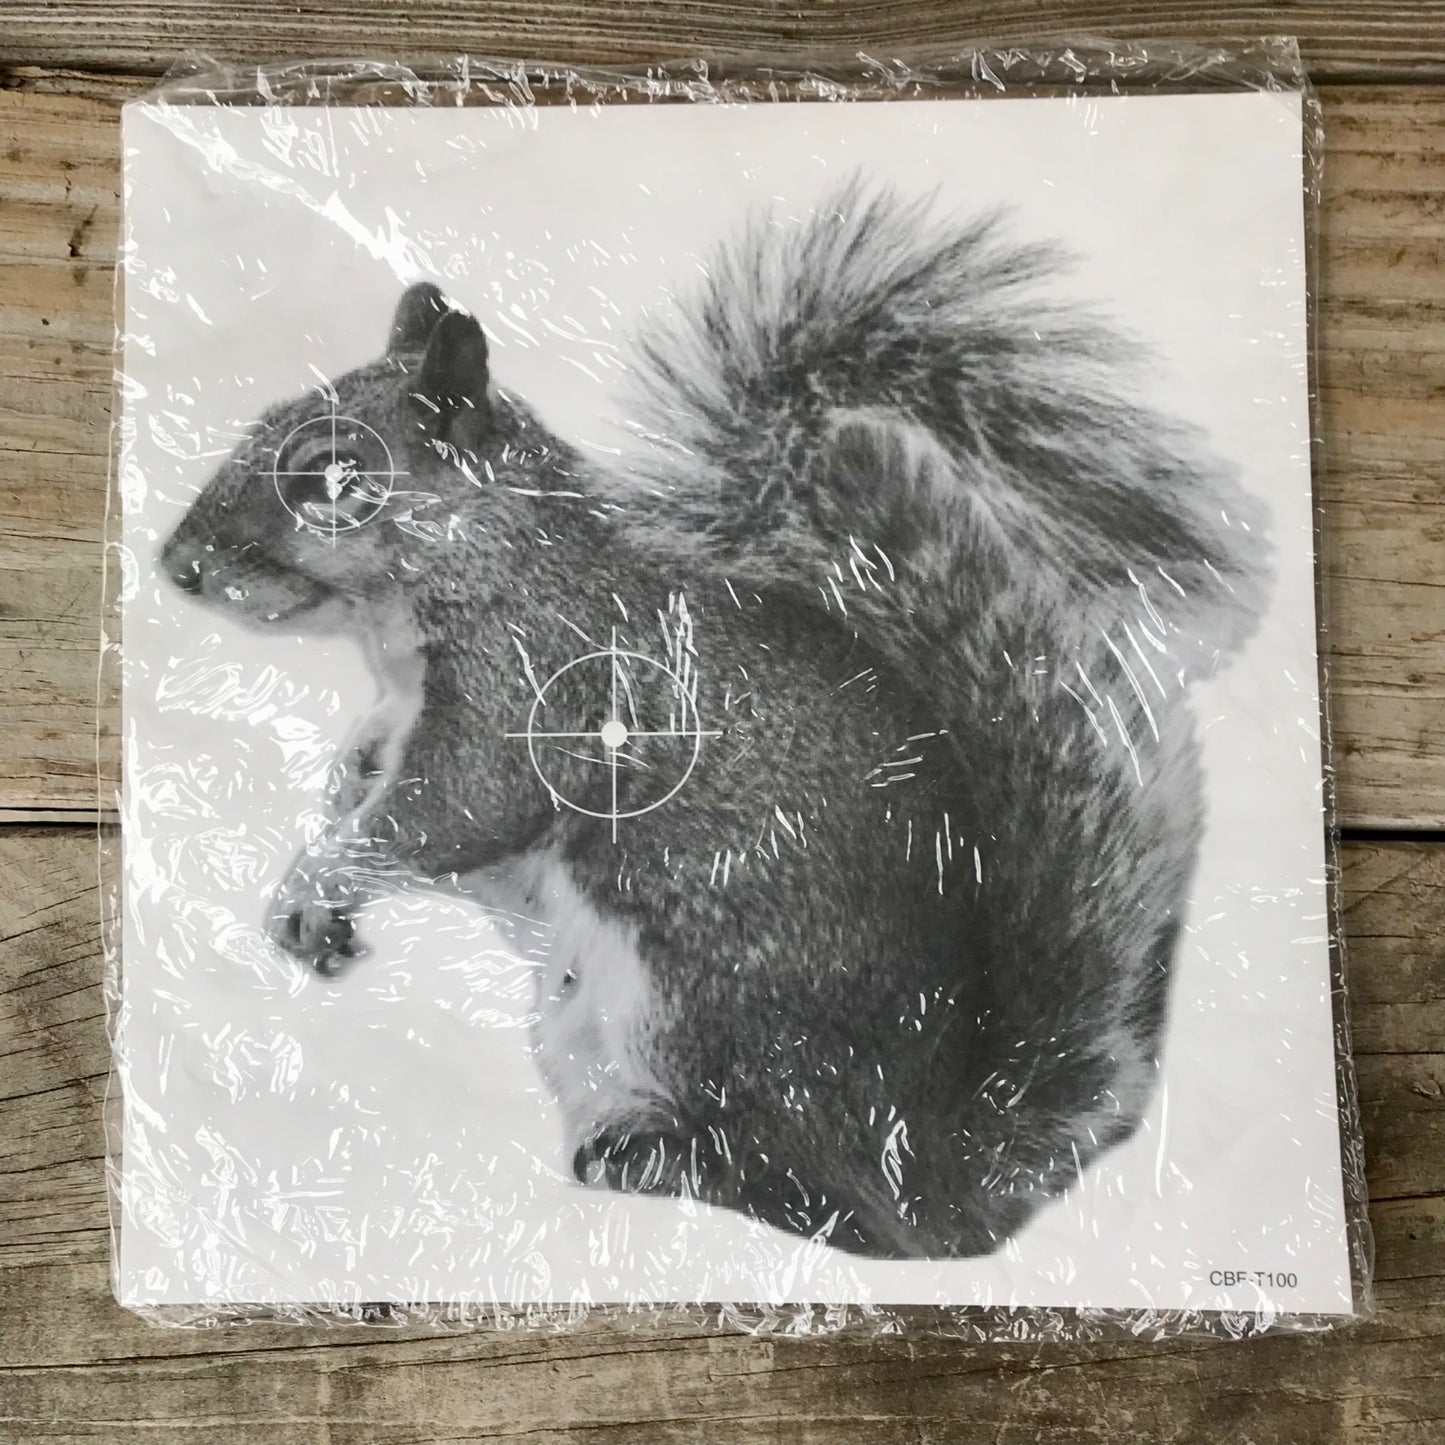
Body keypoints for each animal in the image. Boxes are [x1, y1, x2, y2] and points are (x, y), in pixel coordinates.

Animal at [160, 179, 1269, 1260]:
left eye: (335, 476)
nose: (177, 564)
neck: (479, 561)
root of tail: (934, 1175)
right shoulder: (406, 704)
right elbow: (374, 767)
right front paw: (337, 796)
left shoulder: (537, 685)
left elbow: (455, 808)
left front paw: (315, 879)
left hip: (699, 1009)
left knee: (825, 1205)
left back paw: (665, 1160)